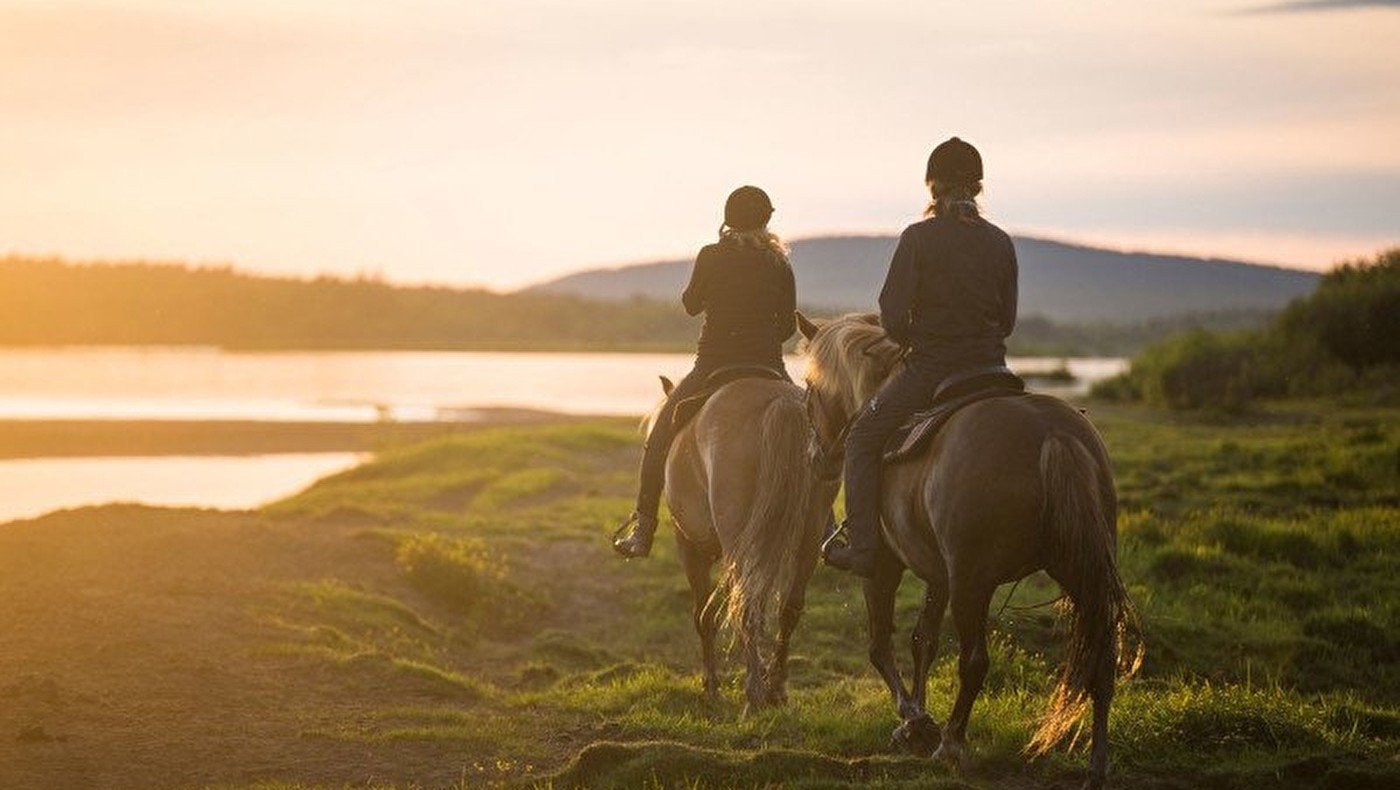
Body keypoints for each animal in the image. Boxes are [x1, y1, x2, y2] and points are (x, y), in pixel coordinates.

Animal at [649, 372, 834, 708]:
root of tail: (781, 403)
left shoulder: (688, 546)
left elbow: (703, 615)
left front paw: (711, 683)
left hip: (738, 541)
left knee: (746, 607)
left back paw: (755, 692)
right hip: (808, 536)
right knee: (787, 608)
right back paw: (775, 688)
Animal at [800, 315, 1136, 790]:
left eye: (810, 386)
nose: (815, 458)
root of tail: (1052, 434)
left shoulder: (884, 566)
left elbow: (880, 645)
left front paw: (916, 722)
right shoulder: (937, 573)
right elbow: (923, 641)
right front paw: (916, 723)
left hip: (971, 583)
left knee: (974, 661)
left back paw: (953, 745)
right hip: (1080, 572)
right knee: (1102, 659)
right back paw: (1096, 766)